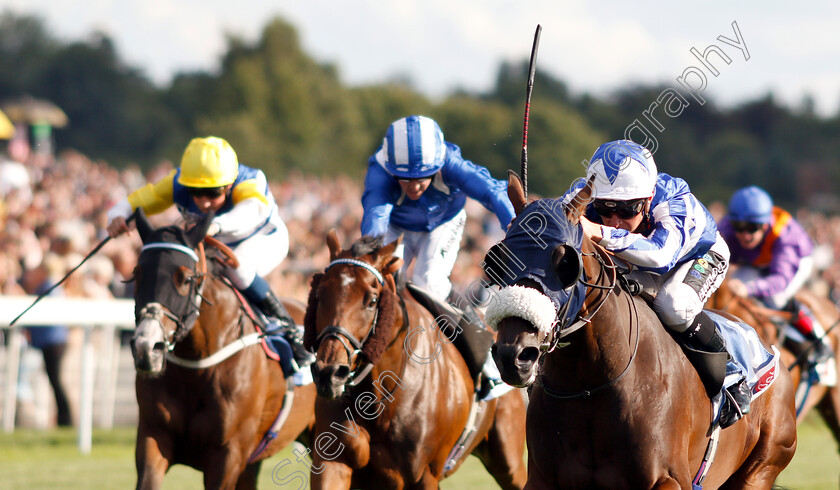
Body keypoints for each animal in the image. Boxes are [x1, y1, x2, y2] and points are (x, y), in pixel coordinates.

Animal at [130, 211, 316, 490]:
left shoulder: (228, 455)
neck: (195, 367)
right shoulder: (153, 437)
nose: (146, 347)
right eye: (137, 274)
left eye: (186, 278)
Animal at [302, 231, 524, 490]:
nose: (329, 374)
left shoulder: (423, 475)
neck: (379, 400)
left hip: (508, 458)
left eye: (372, 300)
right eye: (318, 296)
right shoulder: (333, 464)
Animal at [486, 174, 796, 488]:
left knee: (677, 304)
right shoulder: (543, 478)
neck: (589, 384)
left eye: (564, 261)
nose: (514, 355)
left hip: (762, 466)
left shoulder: (669, 478)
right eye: (499, 258)